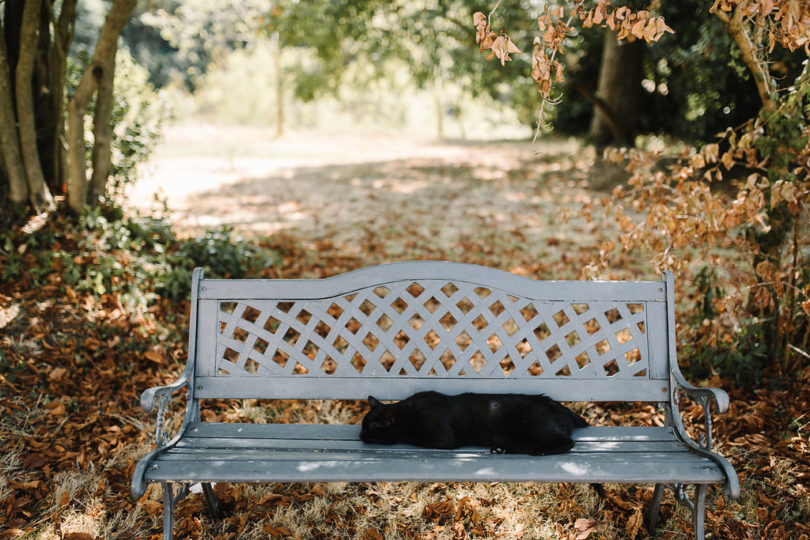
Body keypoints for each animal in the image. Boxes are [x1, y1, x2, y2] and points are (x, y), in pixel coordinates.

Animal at [360, 392, 588, 456]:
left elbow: (413, 437)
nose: (360, 436)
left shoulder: (442, 438)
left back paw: (539, 450)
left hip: (530, 424)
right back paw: (502, 448)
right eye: (362, 426)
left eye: (368, 428)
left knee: (567, 442)